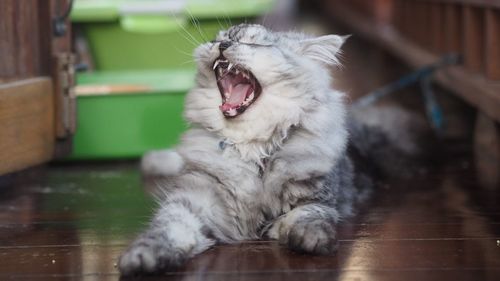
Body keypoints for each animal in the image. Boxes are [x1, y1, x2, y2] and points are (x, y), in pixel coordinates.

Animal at [117, 23, 414, 274]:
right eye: (216, 38)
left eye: (254, 43)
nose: (222, 44)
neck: (251, 147)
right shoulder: (195, 201)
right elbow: (167, 228)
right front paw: (140, 259)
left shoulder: (314, 197)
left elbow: (309, 217)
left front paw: (314, 241)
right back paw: (152, 161)